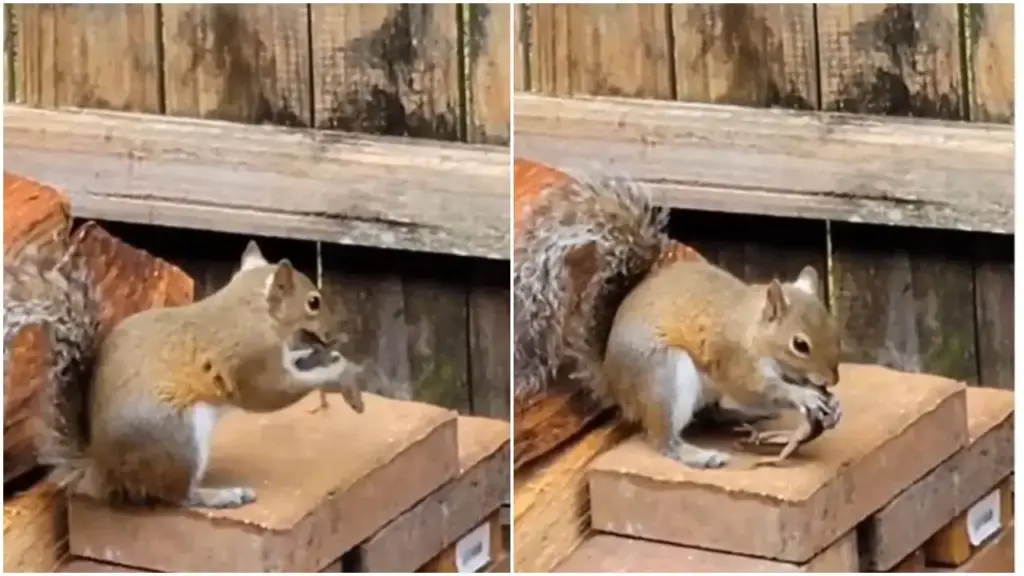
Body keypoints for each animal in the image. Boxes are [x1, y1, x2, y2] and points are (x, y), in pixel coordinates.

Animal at [21, 239, 368, 509]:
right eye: (313, 302)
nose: (335, 333)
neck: (254, 310)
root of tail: (104, 467)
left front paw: (312, 356)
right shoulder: (252, 362)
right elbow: (271, 394)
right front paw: (337, 373)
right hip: (179, 438)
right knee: (177, 496)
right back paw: (222, 496)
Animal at [514, 169, 841, 469]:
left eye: (833, 329)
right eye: (800, 345)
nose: (832, 380)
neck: (753, 331)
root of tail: (613, 383)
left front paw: (830, 403)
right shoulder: (735, 360)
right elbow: (760, 389)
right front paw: (802, 396)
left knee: (712, 413)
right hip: (666, 375)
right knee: (664, 440)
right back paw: (700, 455)